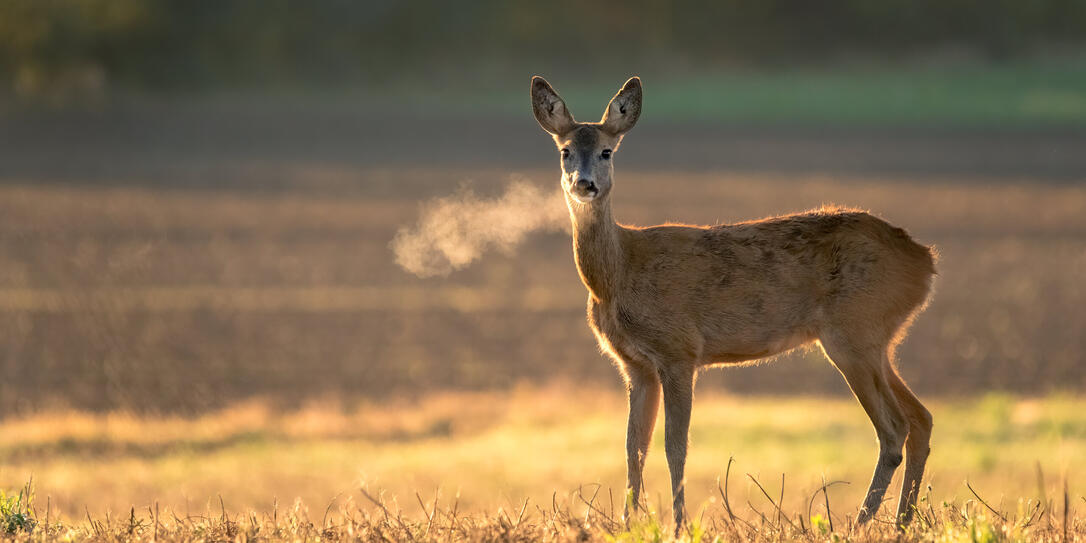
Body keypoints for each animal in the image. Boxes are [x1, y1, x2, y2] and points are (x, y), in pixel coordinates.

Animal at [530, 76, 936, 534]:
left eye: (606, 151)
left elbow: (674, 446)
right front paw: (628, 524)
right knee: (921, 418)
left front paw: (678, 526)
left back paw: (860, 522)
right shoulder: (634, 365)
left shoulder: (679, 350)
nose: (584, 184)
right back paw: (902, 521)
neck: (618, 275)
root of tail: (926, 262)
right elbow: (634, 447)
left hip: (853, 333)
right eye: (564, 151)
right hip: (876, 340)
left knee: (895, 428)